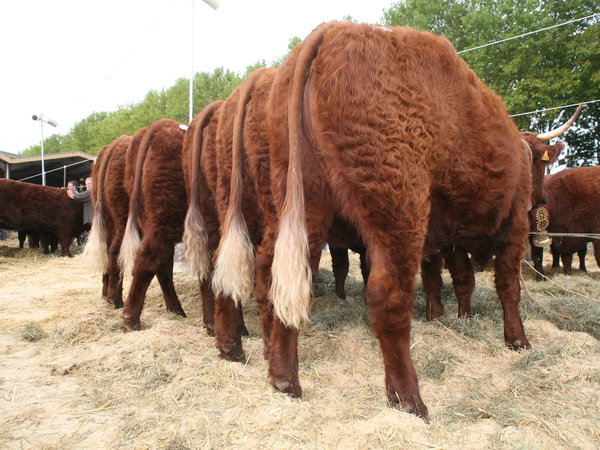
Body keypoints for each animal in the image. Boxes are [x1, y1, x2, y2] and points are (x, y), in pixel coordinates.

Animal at [119, 118, 189, 330]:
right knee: (149, 260)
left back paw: (176, 311)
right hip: (165, 218)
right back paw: (131, 319)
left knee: (162, 265)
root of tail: (162, 124)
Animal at [262, 23, 540, 418]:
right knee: (388, 296)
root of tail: (333, 30)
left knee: (289, 278)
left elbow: (464, 280)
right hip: (400, 209)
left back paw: (286, 381)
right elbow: (508, 286)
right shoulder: (514, 224)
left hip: (303, 203)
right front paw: (517, 339)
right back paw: (410, 399)